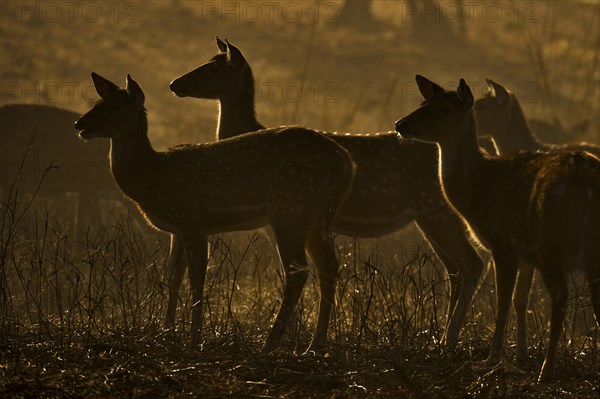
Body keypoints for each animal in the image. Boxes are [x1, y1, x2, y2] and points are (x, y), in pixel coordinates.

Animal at [75, 72, 356, 354]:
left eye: (115, 106)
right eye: (98, 102)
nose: (80, 123)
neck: (152, 176)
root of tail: (346, 162)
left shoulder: (192, 219)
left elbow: (197, 277)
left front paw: (195, 338)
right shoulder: (178, 229)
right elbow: (173, 275)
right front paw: (167, 332)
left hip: (289, 208)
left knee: (298, 270)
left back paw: (270, 344)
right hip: (316, 216)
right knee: (328, 265)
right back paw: (315, 344)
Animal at [169, 39, 488, 348]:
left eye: (214, 68)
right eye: (208, 61)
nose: (174, 83)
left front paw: (292, 334)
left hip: (437, 209)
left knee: (470, 264)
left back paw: (449, 339)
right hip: (429, 217)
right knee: (454, 270)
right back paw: (443, 336)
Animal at [394, 75, 600, 384]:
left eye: (443, 109)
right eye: (422, 103)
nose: (400, 124)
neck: (476, 185)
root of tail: (586, 184)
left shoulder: (503, 242)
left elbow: (503, 299)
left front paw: (492, 357)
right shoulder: (524, 254)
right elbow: (518, 298)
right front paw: (518, 356)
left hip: (552, 245)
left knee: (561, 297)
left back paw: (547, 370)